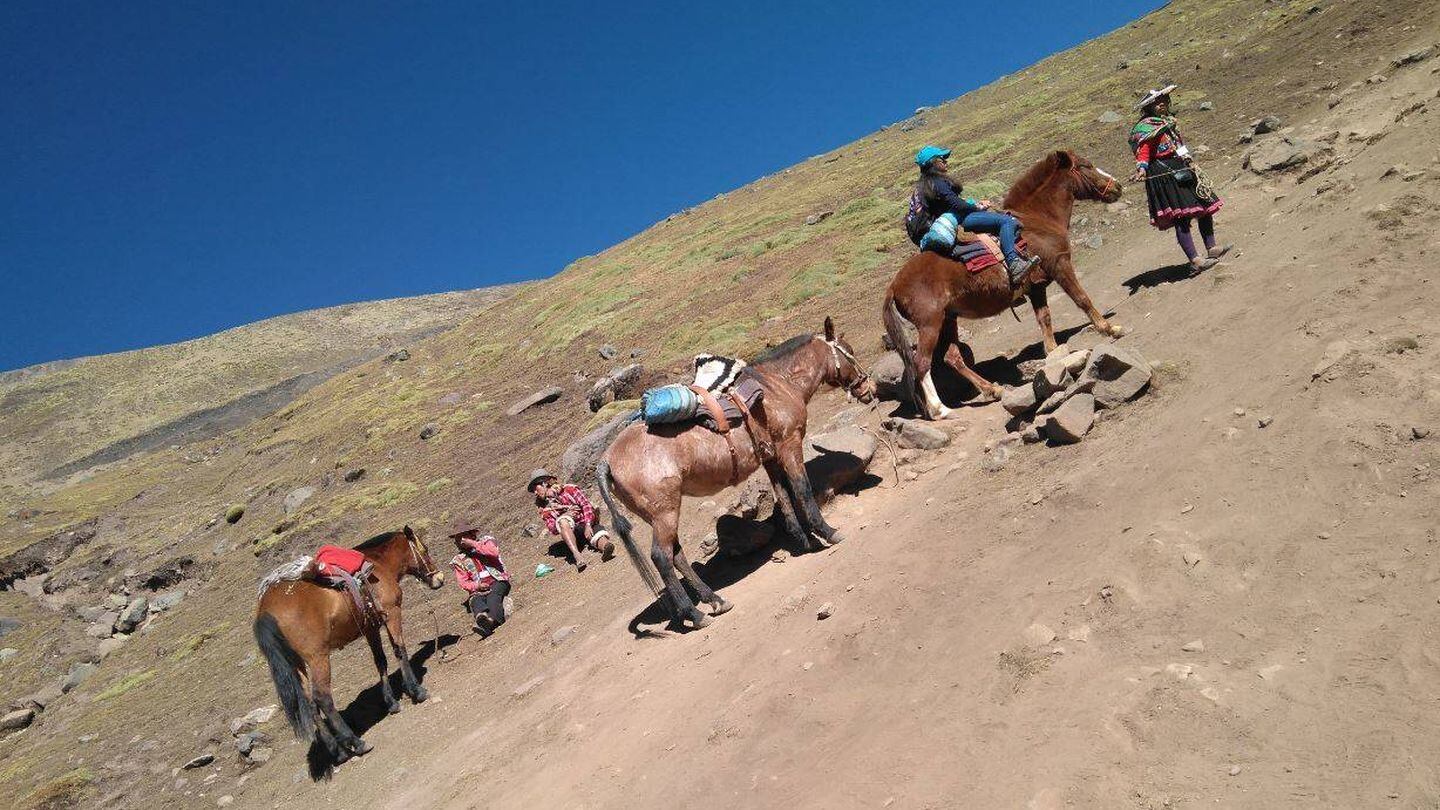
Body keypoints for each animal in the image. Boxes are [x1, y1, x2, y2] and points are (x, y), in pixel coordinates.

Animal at [253, 526, 444, 768]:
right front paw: (416, 691)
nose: (439, 578)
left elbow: (380, 660)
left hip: (298, 664)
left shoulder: (370, 627)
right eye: (424, 549)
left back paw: (339, 752)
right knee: (322, 697)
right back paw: (356, 742)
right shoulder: (392, 613)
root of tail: (265, 611)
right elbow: (399, 650)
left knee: (310, 703)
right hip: (317, 657)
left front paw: (391, 702)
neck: (378, 565)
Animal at [595, 318, 876, 631]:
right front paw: (827, 532)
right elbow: (802, 491)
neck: (778, 385)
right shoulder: (790, 445)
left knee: (677, 555)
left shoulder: (771, 457)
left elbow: (783, 496)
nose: (870, 388)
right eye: (849, 351)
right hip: (664, 512)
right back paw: (695, 614)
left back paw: (716, 601)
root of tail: (607, 460)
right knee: (662, 558)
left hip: (658, 515)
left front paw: (804, 541)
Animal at [882, 150, 1126, 419]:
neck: (1038, 220)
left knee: (952, 357)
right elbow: (1082, 299)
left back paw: (993, 390)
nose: (1118, 186)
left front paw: (1053, 353)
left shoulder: (1036, 287)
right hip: (930, 324)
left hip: (947, 320)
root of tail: (894, 286)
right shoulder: (1060, 265)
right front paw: (1110, 328)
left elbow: (1044, 318)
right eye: (1086, 166)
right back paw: (941, 410)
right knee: (922, 364)